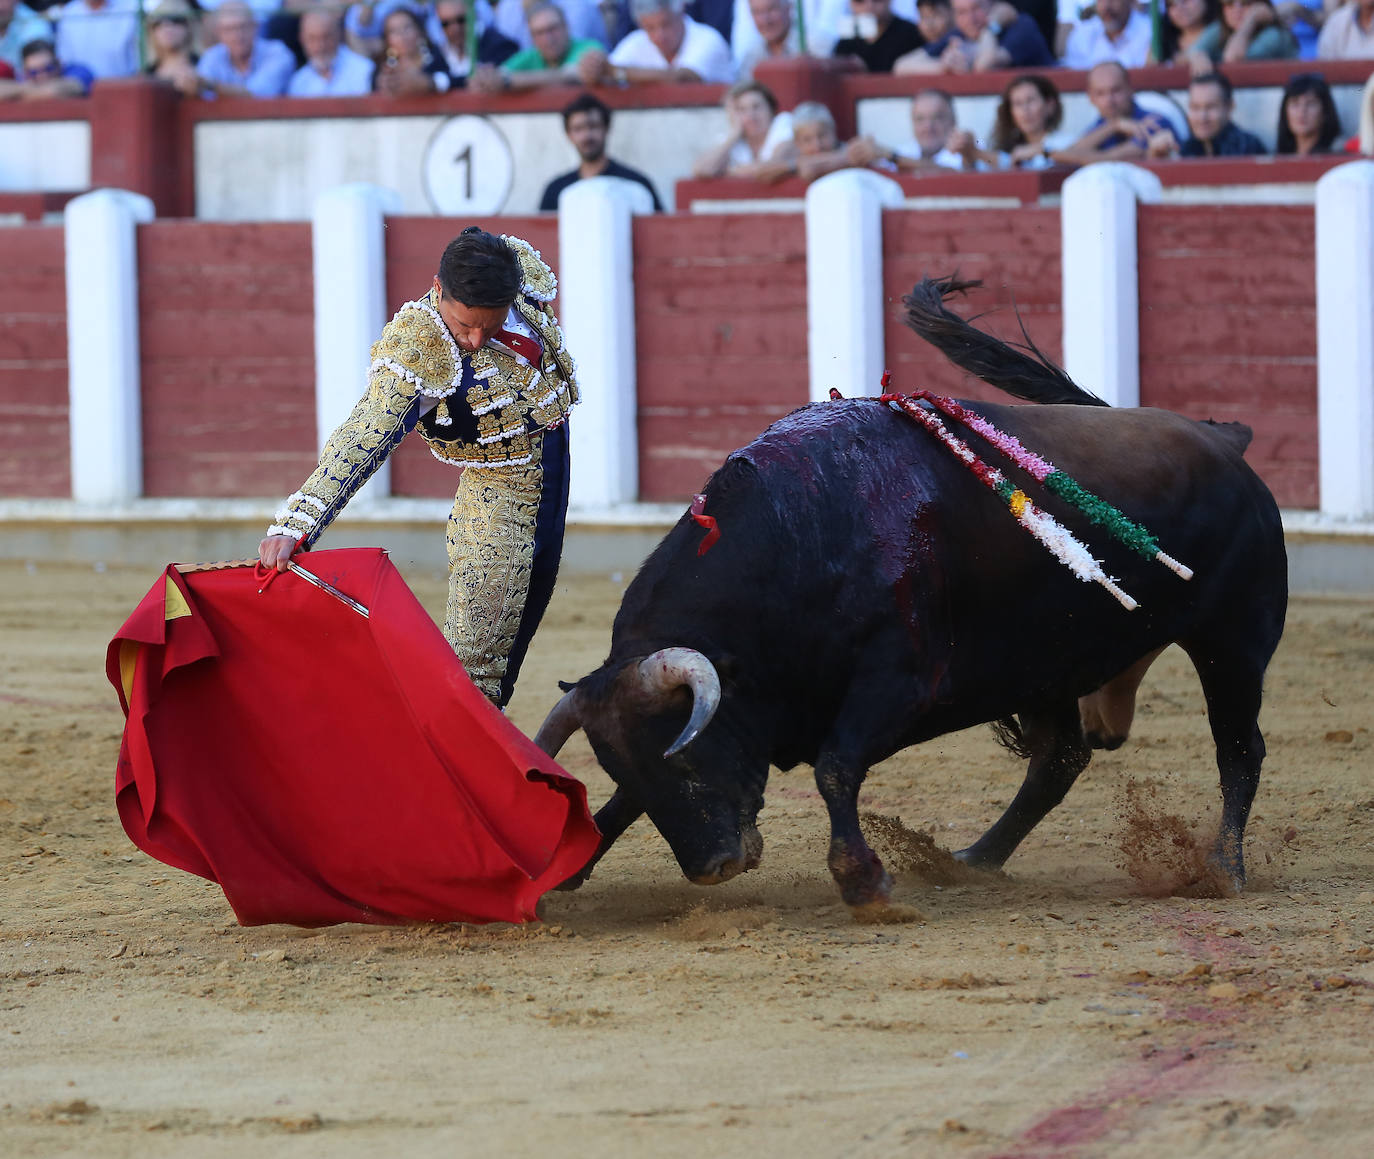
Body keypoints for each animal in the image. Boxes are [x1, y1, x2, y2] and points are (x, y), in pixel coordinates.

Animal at [535, 276, 1286, 917]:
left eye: (688, 756)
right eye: (618, 762)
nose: (713, 866)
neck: (804, 538)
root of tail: (1222, 438)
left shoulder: (902, 679)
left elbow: (836, 768)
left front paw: (865, 883)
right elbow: (626, 802)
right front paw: (568, 865)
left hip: (1232, 642)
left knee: (1238, 747)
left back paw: (1222, 867)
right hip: (1047, 662)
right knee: (1060, 760)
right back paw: (975, 859)